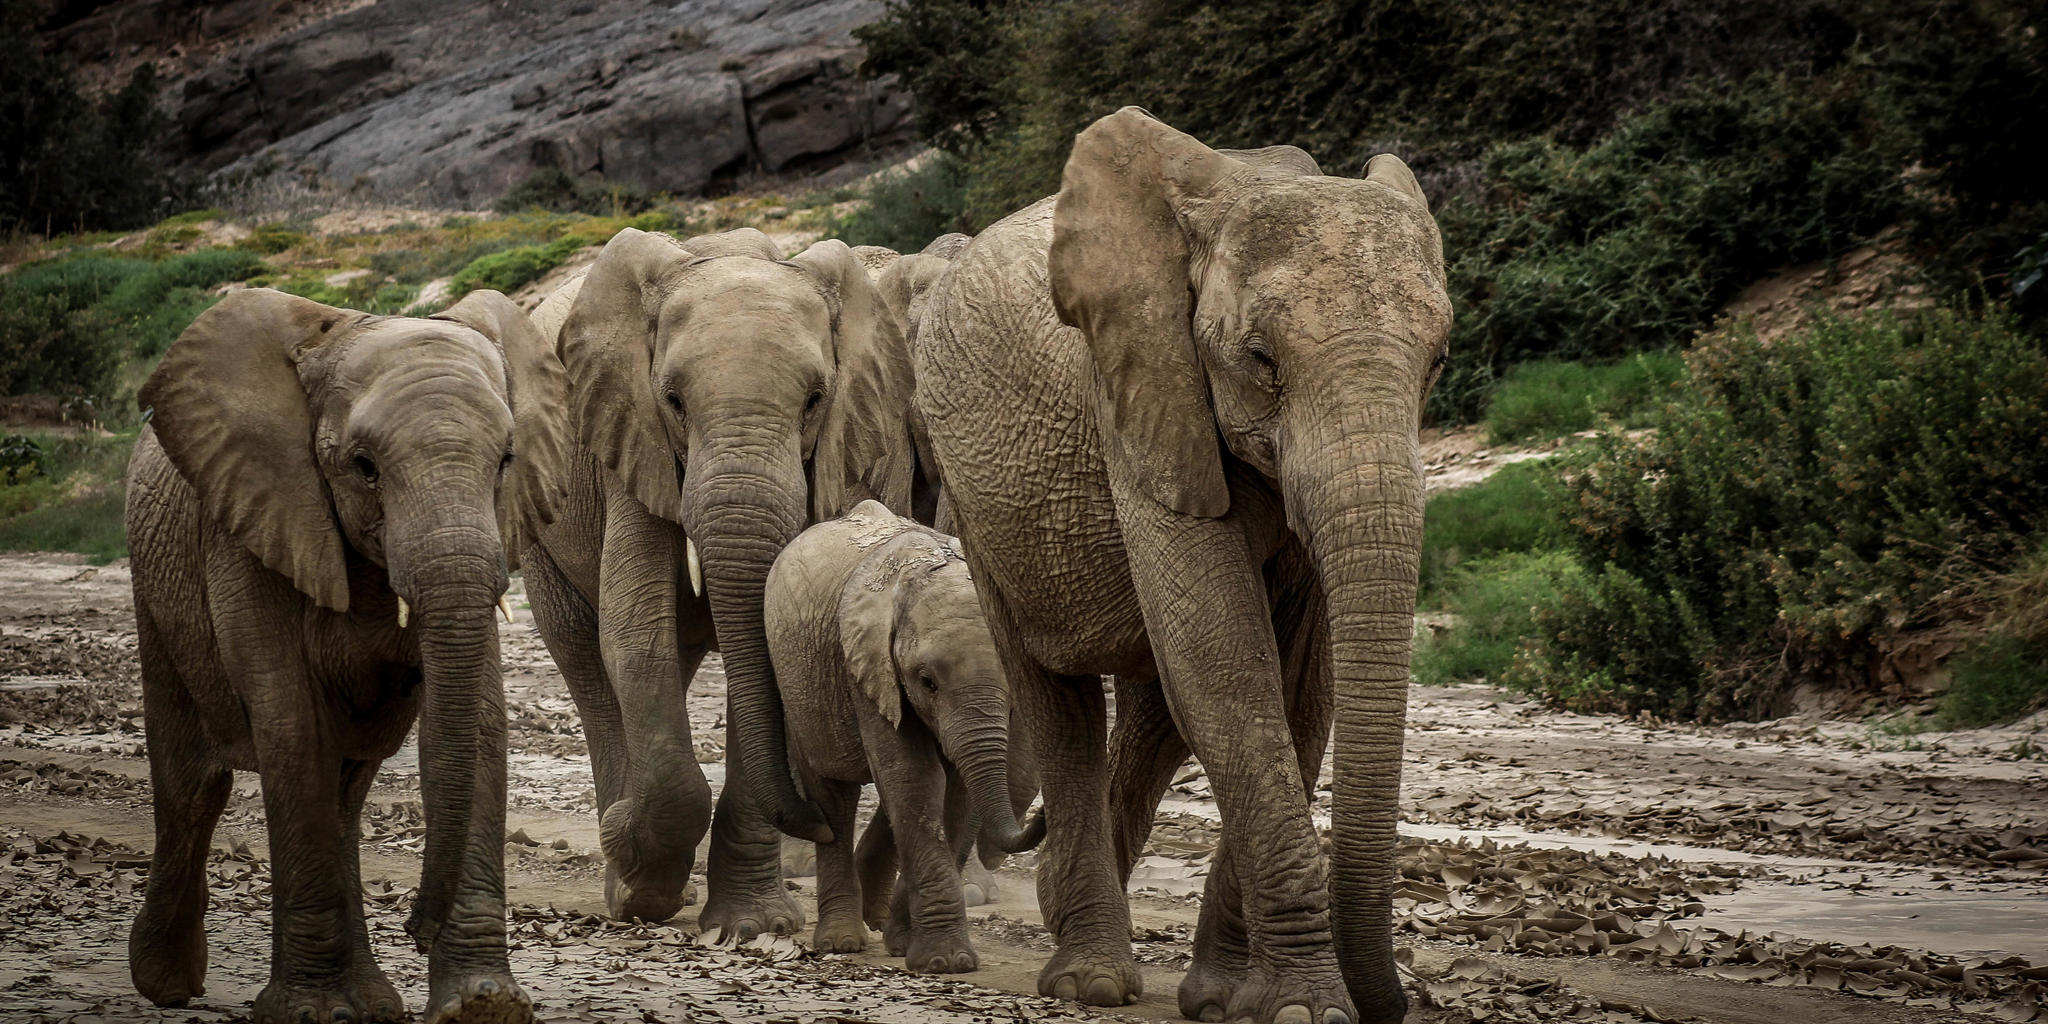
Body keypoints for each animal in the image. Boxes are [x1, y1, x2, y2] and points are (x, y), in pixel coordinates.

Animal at [124, 287, 567, 1024]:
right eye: (364, 466)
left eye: (507, 459)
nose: (416, 928)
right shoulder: (253, 519)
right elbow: (292, 723)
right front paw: (308, 1013)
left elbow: (478, 724)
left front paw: (483, 1006)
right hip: (154, 590)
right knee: (193, 783)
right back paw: (168, 985)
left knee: (344, 792)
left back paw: (372, 1002)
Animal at [515, 227, 925, 937]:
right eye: (673, 401)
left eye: (815, 400)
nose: (817, 823)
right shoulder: (630, 441)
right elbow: (634, 632)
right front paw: (641, 878)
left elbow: (768, 640)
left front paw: (754, 924)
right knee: (586, 656)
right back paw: (624, 876)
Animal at [763, 500, 1043, 972]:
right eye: (927, 681)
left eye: (1013, 683)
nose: (1041, 819)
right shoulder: (867, 666)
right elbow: (914, 779)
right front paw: (946, 962)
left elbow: (954, 791)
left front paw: (913, 947)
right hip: (799, 686)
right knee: (834, 797)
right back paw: (842, 941)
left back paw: (882, 928)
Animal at [902, 107, 1453, 1024]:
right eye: (1262, 359)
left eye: (1439, 360)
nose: (1397, 1004)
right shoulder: (1137, 393)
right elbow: (1228, 673)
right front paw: (1310, 1009)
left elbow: (1298, 694)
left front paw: (1233, 999)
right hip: (971, 500)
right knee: (1059, 707)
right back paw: (1088, 978)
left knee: (1154, 717)